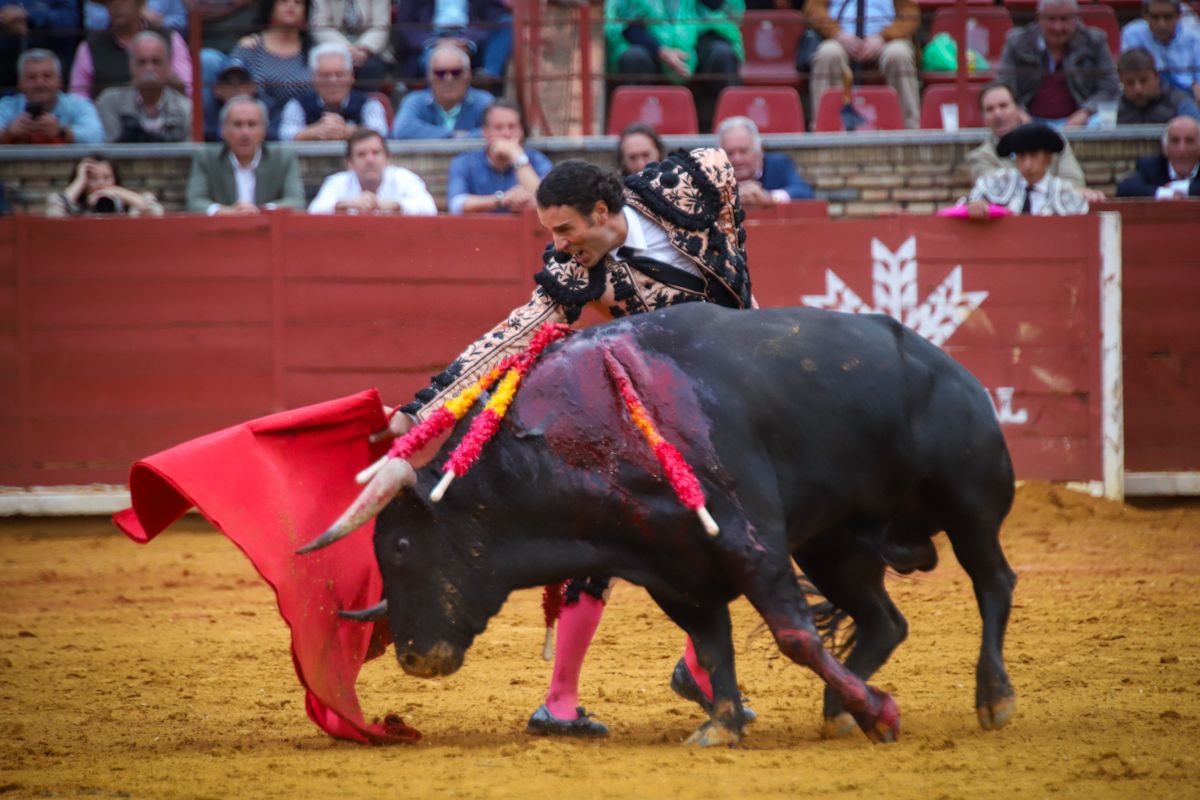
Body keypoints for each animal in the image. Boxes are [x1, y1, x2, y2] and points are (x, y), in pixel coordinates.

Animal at [314, 303, 1017, 748]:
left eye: (401, 545)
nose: (410, 656)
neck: (590, 429)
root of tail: (955, 370)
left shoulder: (749, 541)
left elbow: (793, 634)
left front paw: (885, 715)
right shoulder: (672, 571)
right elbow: (713, 642)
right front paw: (722, 725)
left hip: (970, 504)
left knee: (993, 582)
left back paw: (992, 698)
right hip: (833, 545)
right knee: (884, 620)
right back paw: (841, 710)